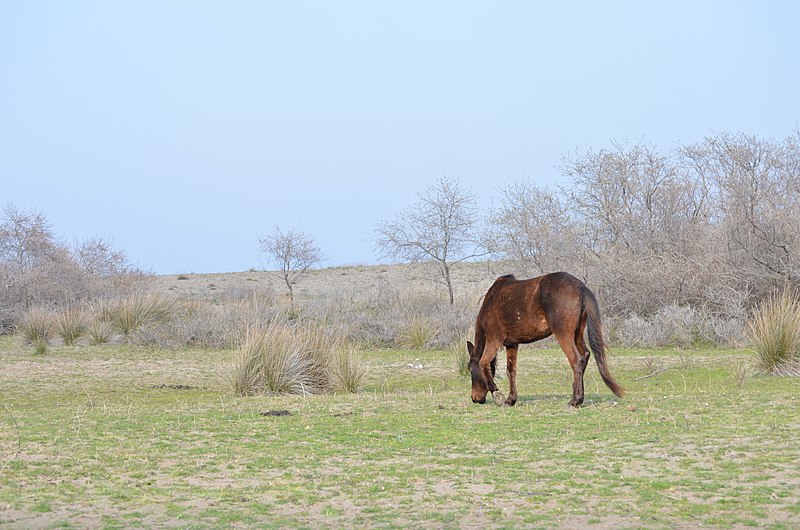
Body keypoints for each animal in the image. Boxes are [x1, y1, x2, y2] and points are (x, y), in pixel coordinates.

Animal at [468, 270, 624, 406]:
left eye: (469, 369)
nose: (475, 398)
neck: (492, 301)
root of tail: (579, 286)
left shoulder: (493, 340)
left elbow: (483, 363)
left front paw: (497, 394)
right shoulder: (512, 344)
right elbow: (510, 370)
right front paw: (510, 400)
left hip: (563, 335)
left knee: (576, 360)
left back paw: (575, 401)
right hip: (577, 334)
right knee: (585, 355)